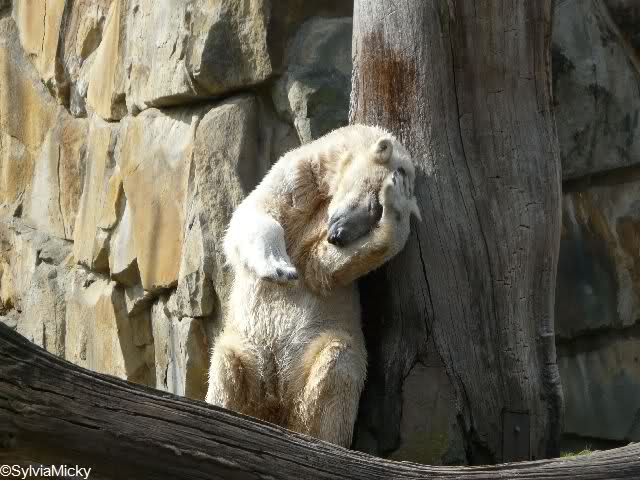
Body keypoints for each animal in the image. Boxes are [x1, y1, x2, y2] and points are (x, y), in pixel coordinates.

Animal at [205, 124, 421, 447]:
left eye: (376, 215)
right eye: (373, 204)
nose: (338, 235)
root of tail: (275, 407)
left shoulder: (318, 241)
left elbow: (322, 268)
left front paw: (398, 210)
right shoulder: (295, 178)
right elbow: (253, 215)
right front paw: (279, 267)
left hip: (316, 361)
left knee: (335, 365)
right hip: (247, 349)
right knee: (227, 364)